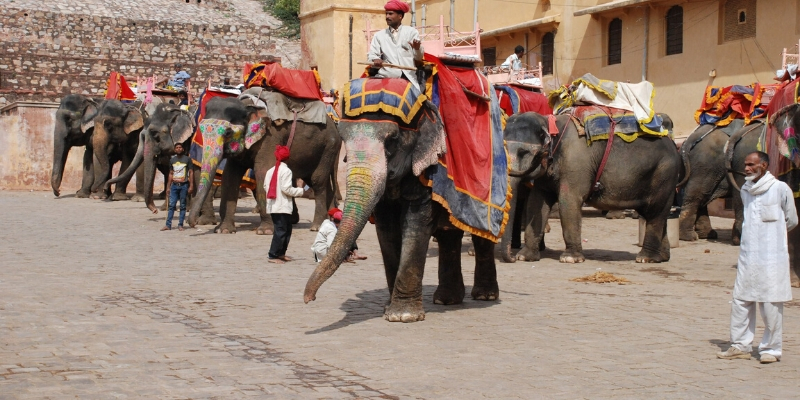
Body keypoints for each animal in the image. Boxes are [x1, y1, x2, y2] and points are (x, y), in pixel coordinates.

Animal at [189, 90, 342, 234]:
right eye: (200, 129)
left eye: (227, 133)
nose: (192, 223)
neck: (248, 106)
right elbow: (230, 176)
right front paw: (224, 230)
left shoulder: (269, 138)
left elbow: (263, 171)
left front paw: (265, 231)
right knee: (317, 181)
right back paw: (330, 220)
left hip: (328, 147)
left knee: (318, 181)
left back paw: (316, 226)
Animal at [304, 99, 500, 322]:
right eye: (342, 137)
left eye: (393, 139)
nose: (309, 299)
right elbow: (386, 229)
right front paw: (388, 309)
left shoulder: (427, 170)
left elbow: (415, 223)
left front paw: (403, 315)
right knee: (448, 235)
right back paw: (446, 300)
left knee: (482, 235)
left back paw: (484, 295)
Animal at [500, 111, 680, 262]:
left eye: (523, 152)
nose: (512, 258)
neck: (550, 122)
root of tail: (673, 144)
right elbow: (536, 203)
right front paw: (525, 257)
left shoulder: (576, 163)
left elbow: (569, 201)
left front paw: (570, 259)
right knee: (657, 214)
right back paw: (662, 257)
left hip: (664, 174)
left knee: (655, 213)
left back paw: (645, 258)